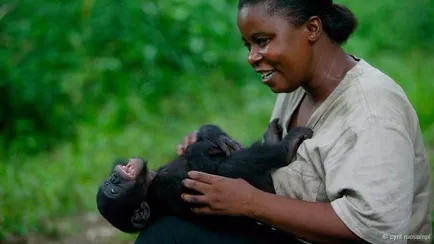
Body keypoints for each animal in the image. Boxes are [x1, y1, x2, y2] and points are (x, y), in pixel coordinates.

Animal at [96, 119, 312, 234]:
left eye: (109, 184)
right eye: (113, 190)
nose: (113, 178)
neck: (150, 183)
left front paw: (212, 134)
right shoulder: (166, 188)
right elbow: (215, 174)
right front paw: (197, 150)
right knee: (230, 168)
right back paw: (285, 146)